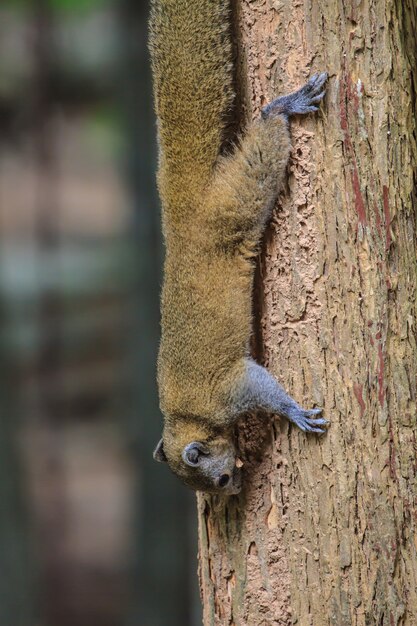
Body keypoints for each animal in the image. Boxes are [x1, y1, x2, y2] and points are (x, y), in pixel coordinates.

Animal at [150, 0, 328, 492]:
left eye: (221, 478)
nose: (235, 491)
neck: (188, 417)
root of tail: (183, 212)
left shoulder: (229, 390)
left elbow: (261, 387)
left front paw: (293, 412)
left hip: (233, 207)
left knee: (263, 145)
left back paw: (284, 106)